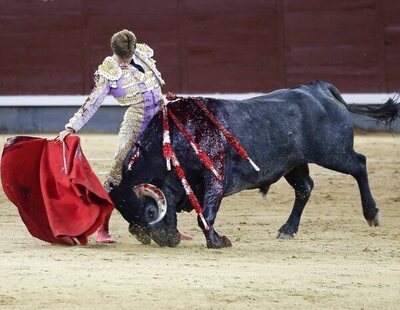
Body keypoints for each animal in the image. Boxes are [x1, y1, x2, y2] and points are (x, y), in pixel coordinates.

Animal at [109, 81, 400, 248]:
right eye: (130, 218)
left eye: (150, 212)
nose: (166, 241)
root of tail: (316, 89)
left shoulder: (215, 178)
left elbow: (207, 215)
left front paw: (218, 242)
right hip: (294, 164)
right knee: (305, 187)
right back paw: (287, 230)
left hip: (333, 152)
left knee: (359, 165)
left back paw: (372, 214)